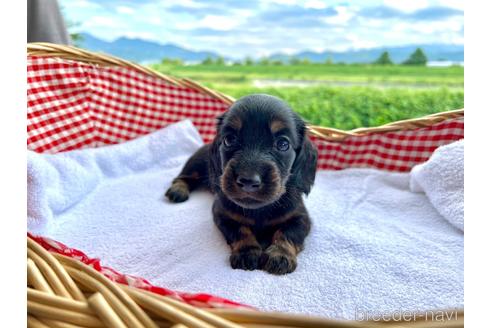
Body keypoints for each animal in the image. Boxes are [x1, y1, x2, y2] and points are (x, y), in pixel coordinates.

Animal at [165, 93, 320, 274]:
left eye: (283, 144)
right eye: (229, 139)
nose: (248, 180)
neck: (259, 210)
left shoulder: (300, 217)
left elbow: (288, 232)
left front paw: (280, 255)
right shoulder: (223, 214)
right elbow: (240, 230)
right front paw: (247, 253)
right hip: (195, 165)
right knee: (182, 177)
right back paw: (178, 190)